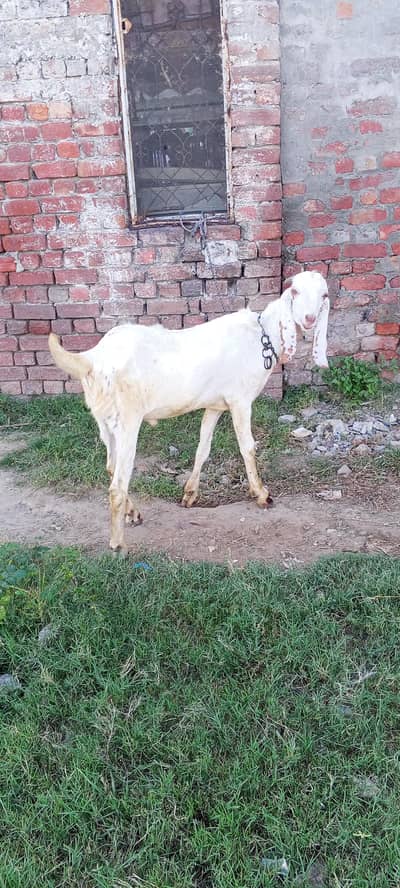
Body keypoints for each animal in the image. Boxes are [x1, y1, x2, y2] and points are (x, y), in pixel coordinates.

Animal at [49, 270, 330, 553]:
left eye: (324, 295)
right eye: (294, 291)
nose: (309, 319)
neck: (261, 336)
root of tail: (93, 359)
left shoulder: (215, 405)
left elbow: (202, 448)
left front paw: (190, 494)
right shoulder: (240, 400)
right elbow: (247, 447)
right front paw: (262, 494)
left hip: (106, 422)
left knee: (110, 467)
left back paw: (134, 513)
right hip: (128, 421)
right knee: (117, 484)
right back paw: (118, 544)